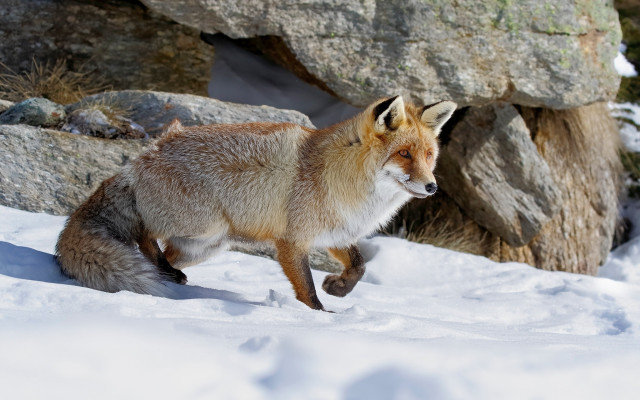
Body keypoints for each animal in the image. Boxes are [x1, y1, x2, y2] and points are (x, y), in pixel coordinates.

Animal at [55, 95, 456, 310]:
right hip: (204, 227)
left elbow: (360, 266)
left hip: (206, 246)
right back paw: (160, 266)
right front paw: (320, 317)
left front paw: (339, 288)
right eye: (404, 154)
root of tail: (145, 153)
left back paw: (168, 274)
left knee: (160, 252)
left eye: (428, 155)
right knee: (143, 232)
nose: (432, 187)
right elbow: (307, 290)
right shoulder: (291, 241)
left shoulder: (335, 233)